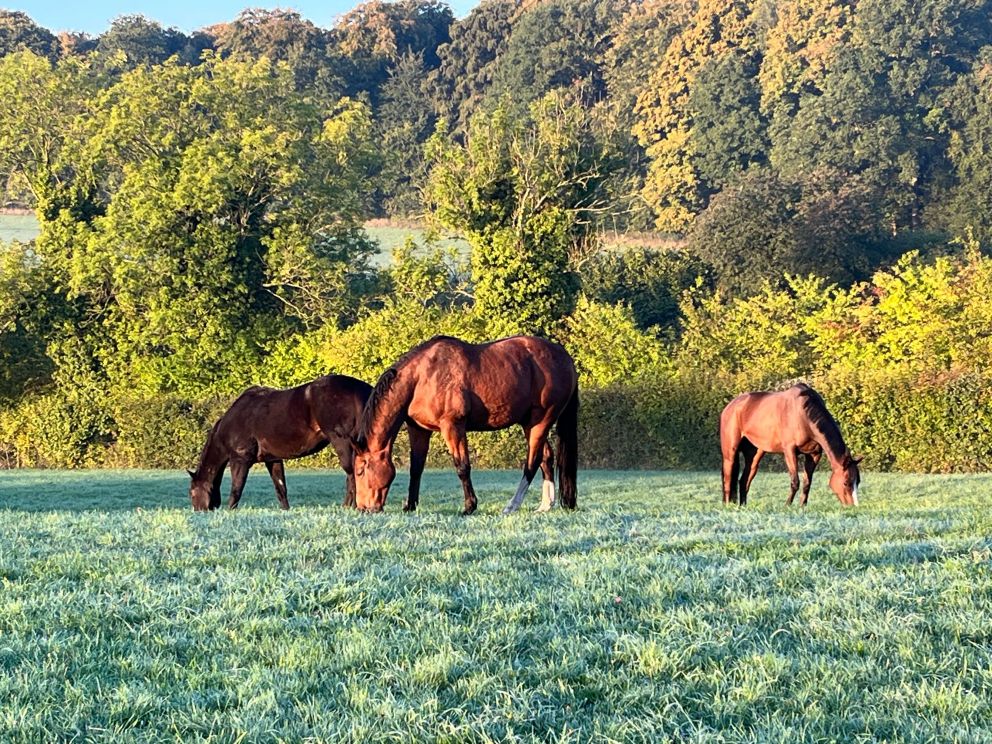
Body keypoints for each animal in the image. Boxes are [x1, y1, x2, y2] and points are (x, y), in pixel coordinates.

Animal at [188, 374, 372, 511]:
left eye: (192, 493)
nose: (198, 511)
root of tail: (360, 389)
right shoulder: (273, 459)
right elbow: (281, 488)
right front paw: (286, 510)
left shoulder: (240, 460)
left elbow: (236, 489)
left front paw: (230, 510)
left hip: (342, 443)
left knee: (352, 474)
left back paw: (350, 506)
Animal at [352, 335, 579, 515]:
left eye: (360, 471)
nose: (363, 508)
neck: (422, 377)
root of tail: (564, 356)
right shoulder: (419, 430)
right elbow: (416, 468)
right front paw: (410, 506)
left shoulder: (453, 427)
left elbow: (462, 467)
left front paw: (469, 506)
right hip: (529, 423)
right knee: (546, 458)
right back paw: (545, 505)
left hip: (541, 420)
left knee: (532, 463)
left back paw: (511, 506)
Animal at [719, 383, 862, 507]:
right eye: (846, 483)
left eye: (858, 482)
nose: (853, 507)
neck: (803, 415)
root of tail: (731, 406)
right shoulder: (790, 451)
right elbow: (795, 481)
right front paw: (787, 505)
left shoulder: (814, 454)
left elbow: (807, 483)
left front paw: (802, 506)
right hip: (730, 452)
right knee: (728, 477)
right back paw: (728, 505)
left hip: (755, 454)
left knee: (744, 480)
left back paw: (742, 506)